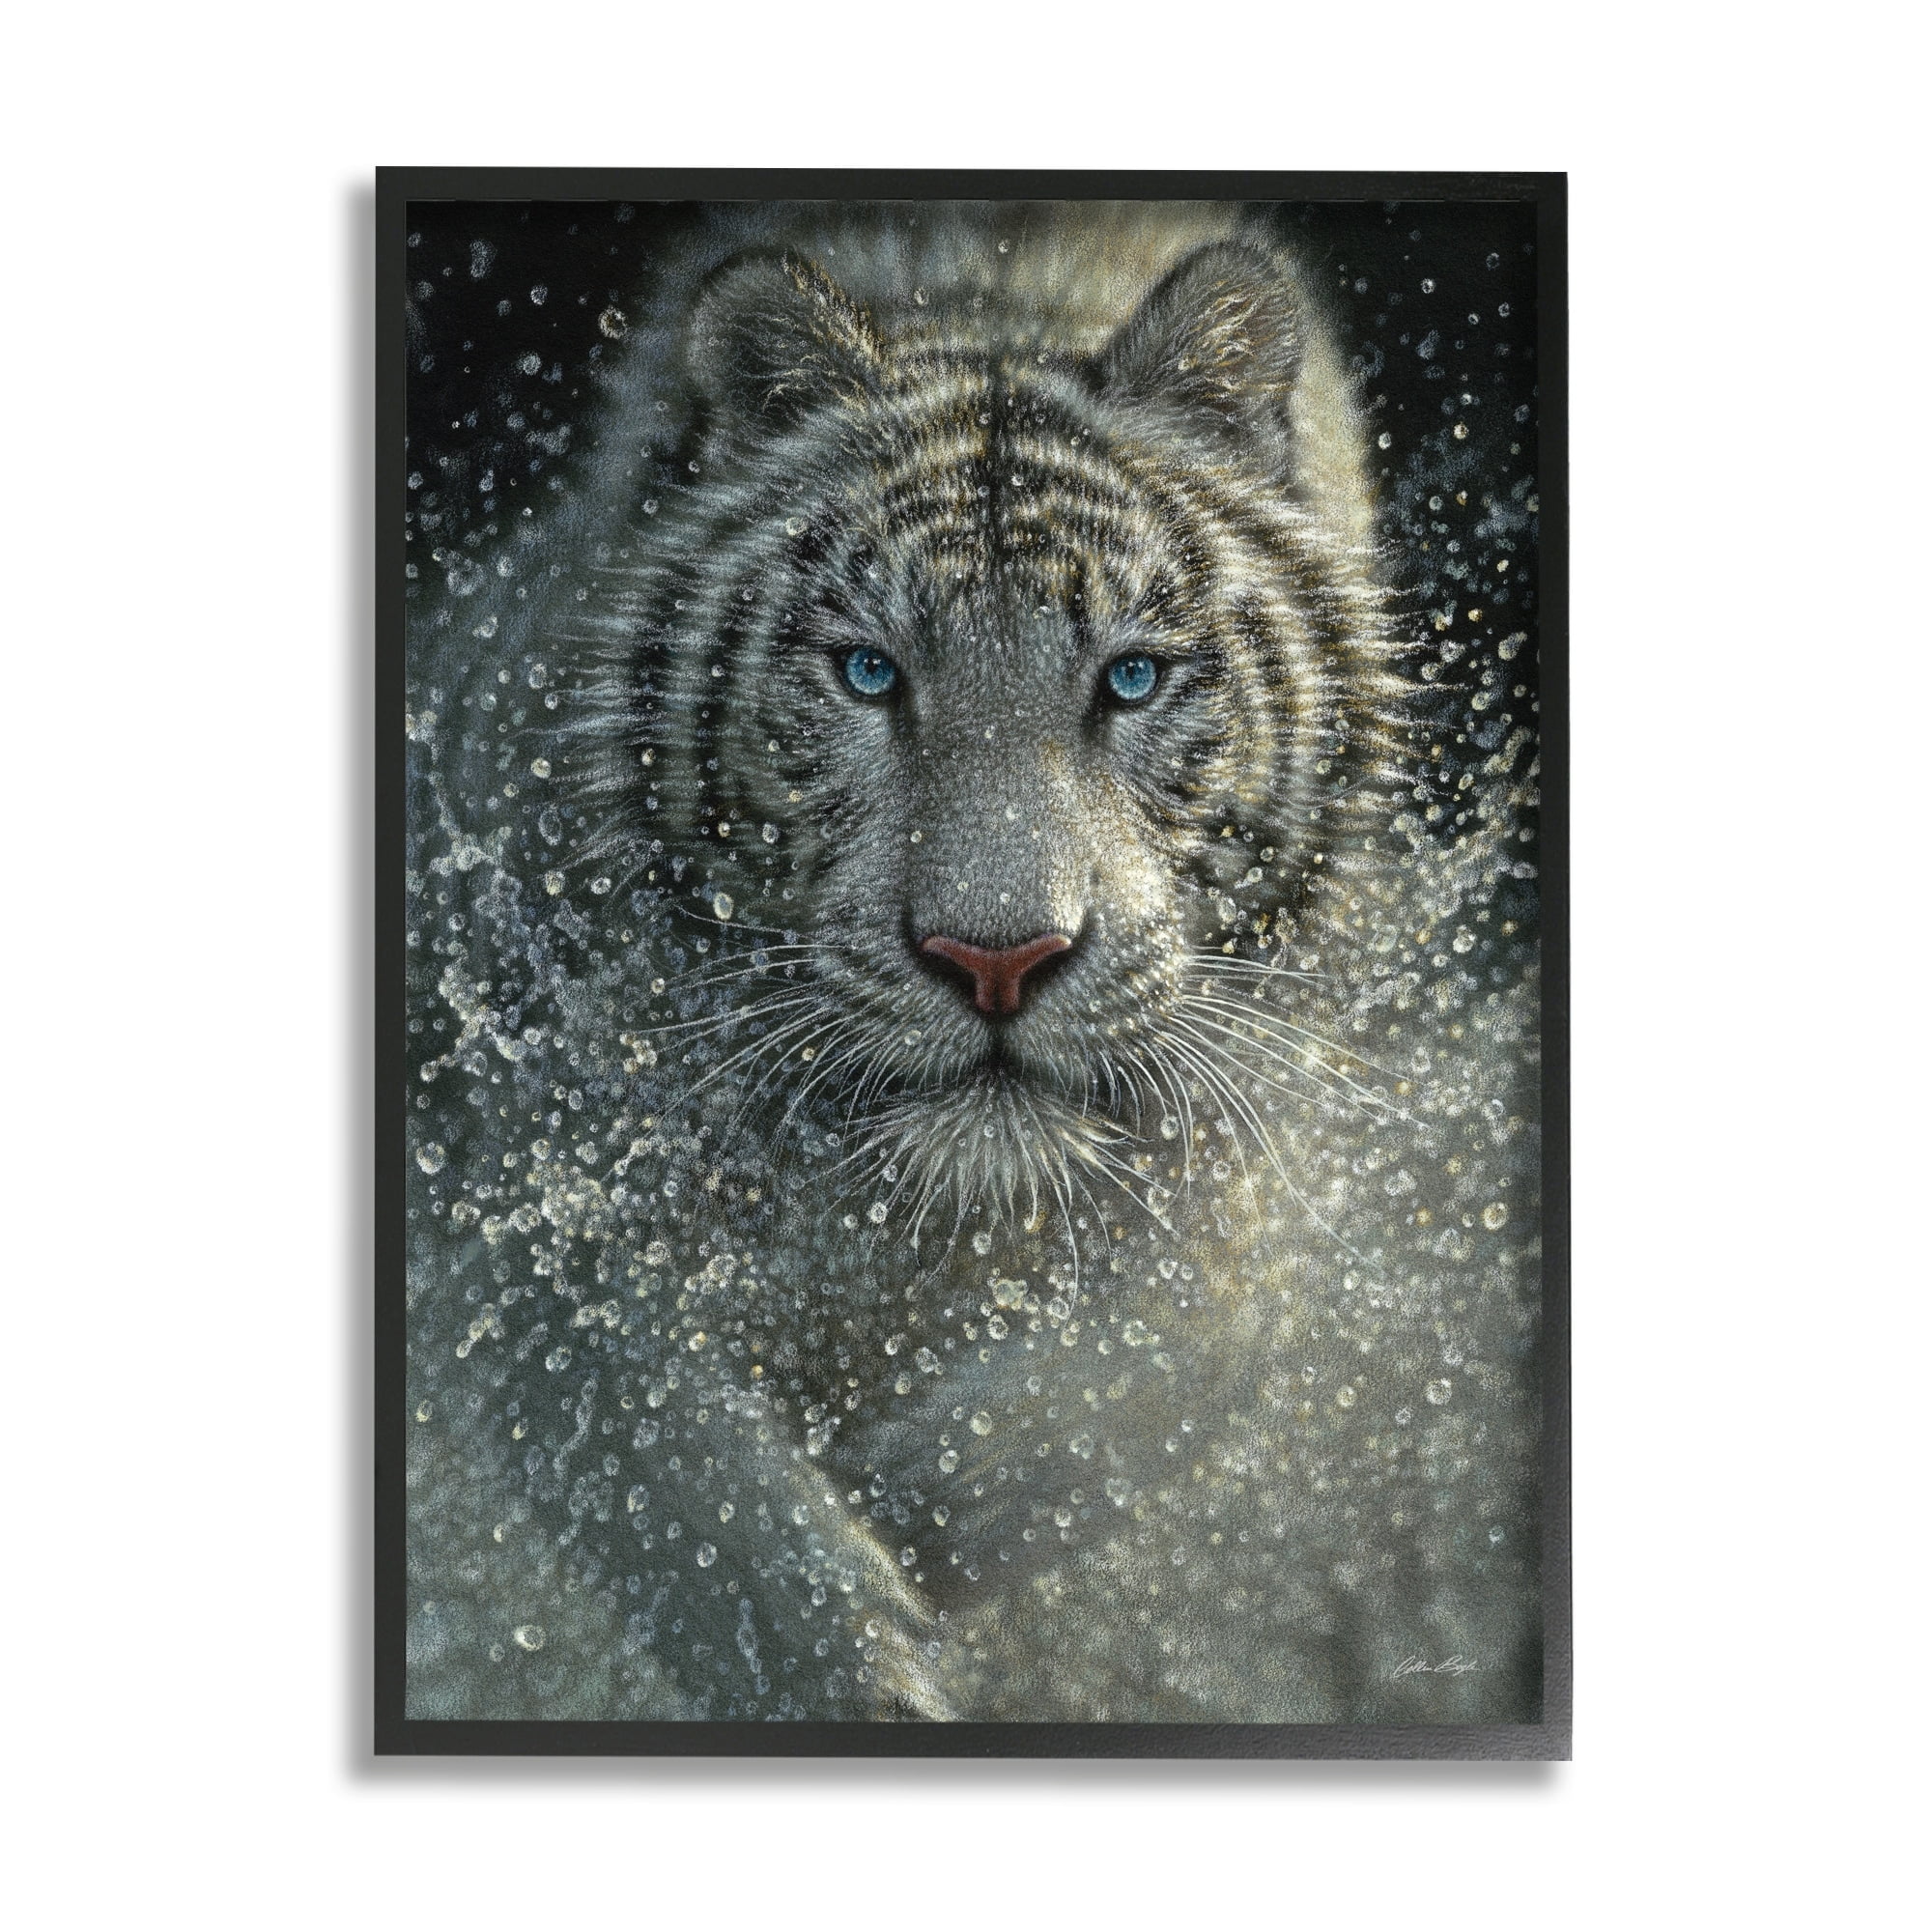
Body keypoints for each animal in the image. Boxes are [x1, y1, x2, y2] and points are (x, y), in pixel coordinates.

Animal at [403, 202, 1545, 1726]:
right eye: (867, 673)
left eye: (1132, 677)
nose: (996, 960)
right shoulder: (512, 1176)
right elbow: (679, 1475)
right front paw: (851, 1634)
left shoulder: (1258, 1141)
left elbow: (1183, 1357)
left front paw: (910, 1505)